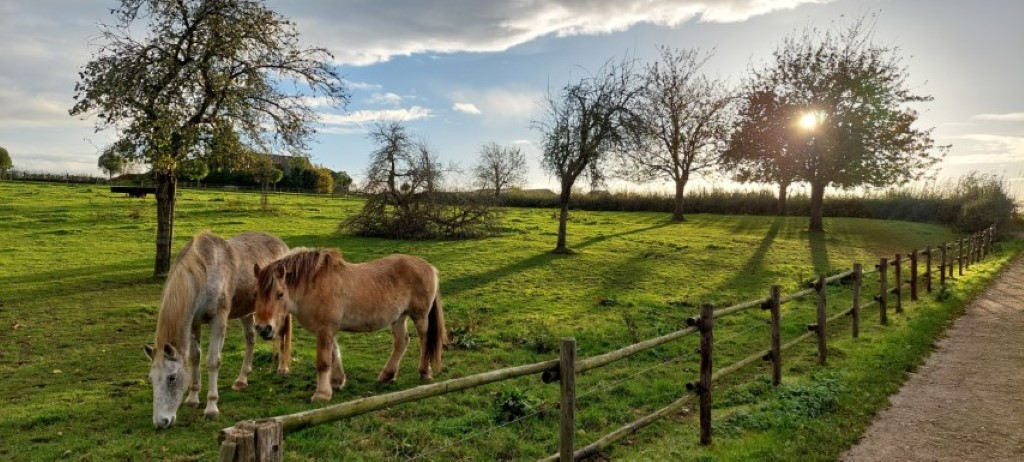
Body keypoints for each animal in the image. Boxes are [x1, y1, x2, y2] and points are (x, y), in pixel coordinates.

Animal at [142, 231, 292, 430]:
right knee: (250, 339)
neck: (204, 273)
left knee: (284, 333)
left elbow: (213, 361)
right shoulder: (194, 322)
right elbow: (195, 358)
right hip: (247, 311)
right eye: (151, 379)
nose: (160, 422)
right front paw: (193, 398)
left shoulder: (218, 319)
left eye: (172, 378)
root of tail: (282, 245)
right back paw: (241, 380)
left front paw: (211, 408)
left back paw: (283, 368)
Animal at [251, 247, 444, 403]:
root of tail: (430, 268)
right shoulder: (327, 331)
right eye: (256, 294)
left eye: (280, 294)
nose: (263, 328)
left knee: (424, 341)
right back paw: (386, 375)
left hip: (420, 316)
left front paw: (322, 394)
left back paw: (424, 372)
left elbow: (323, 361)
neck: (314, 285)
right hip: (399, 318)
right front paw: (336, 382)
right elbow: (334, 353)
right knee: (401, 342)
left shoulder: (325, 330)